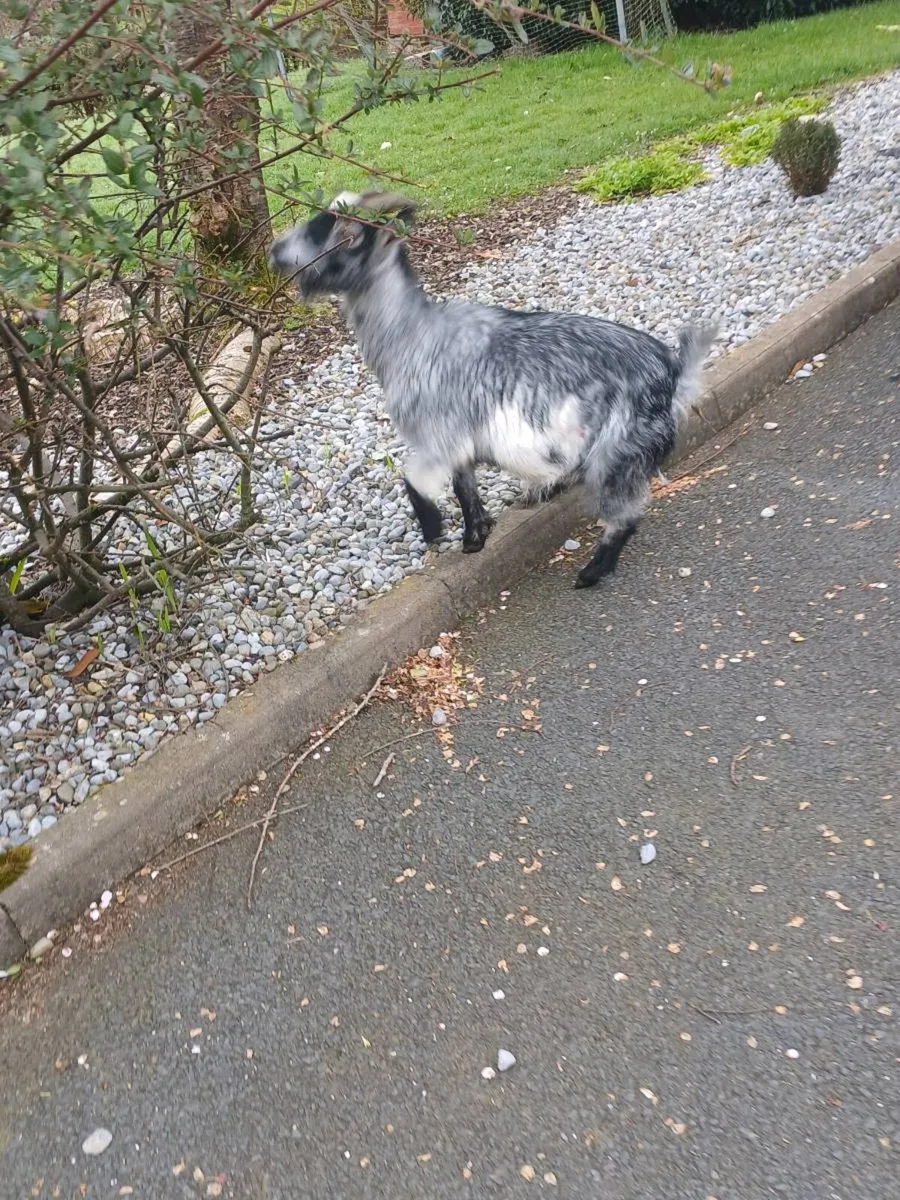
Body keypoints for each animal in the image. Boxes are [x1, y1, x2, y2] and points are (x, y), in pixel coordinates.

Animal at [269, 191, 716, 588]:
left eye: (339, 231)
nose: (276, 250)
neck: (412, 334)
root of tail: (673, 372)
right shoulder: (460, 443)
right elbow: (464, 488)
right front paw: (475, 537)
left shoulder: (439, 434)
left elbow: (413, 479)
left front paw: (433, 528)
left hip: (615, 453)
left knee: (625, 515)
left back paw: (591, 573)